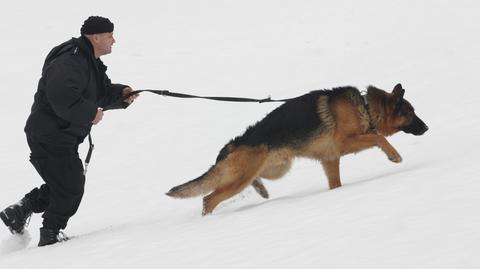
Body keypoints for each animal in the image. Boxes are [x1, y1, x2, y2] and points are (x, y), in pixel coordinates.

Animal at [167, 82, 430, 215]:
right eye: (411, 113)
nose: (427, 127)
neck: (365, 107)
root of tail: (232, 145)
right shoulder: (345, 142)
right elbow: (379, 139)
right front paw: (394, 155)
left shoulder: (330, 159)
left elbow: (336, 184)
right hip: (241, 178)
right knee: (208, 199)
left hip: (275, 168)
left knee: (251, 180)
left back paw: (261, 190)